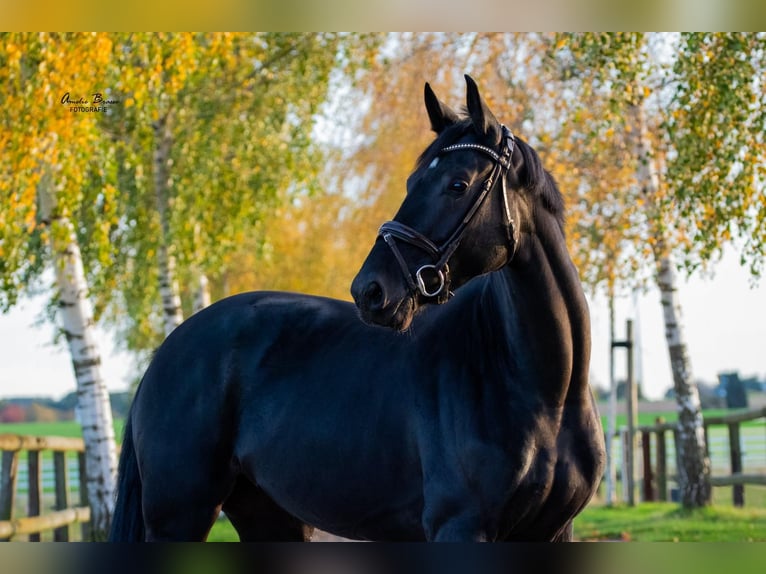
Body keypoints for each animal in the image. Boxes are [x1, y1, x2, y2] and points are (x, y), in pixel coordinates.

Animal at [109, 76, 608, 544]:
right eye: (411, 183)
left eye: (458, 184)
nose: (370, 290)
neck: (542, 391)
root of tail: (167, 352)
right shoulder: (460, 527)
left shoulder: (552, 531)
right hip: (179, 517)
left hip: (267, 517)